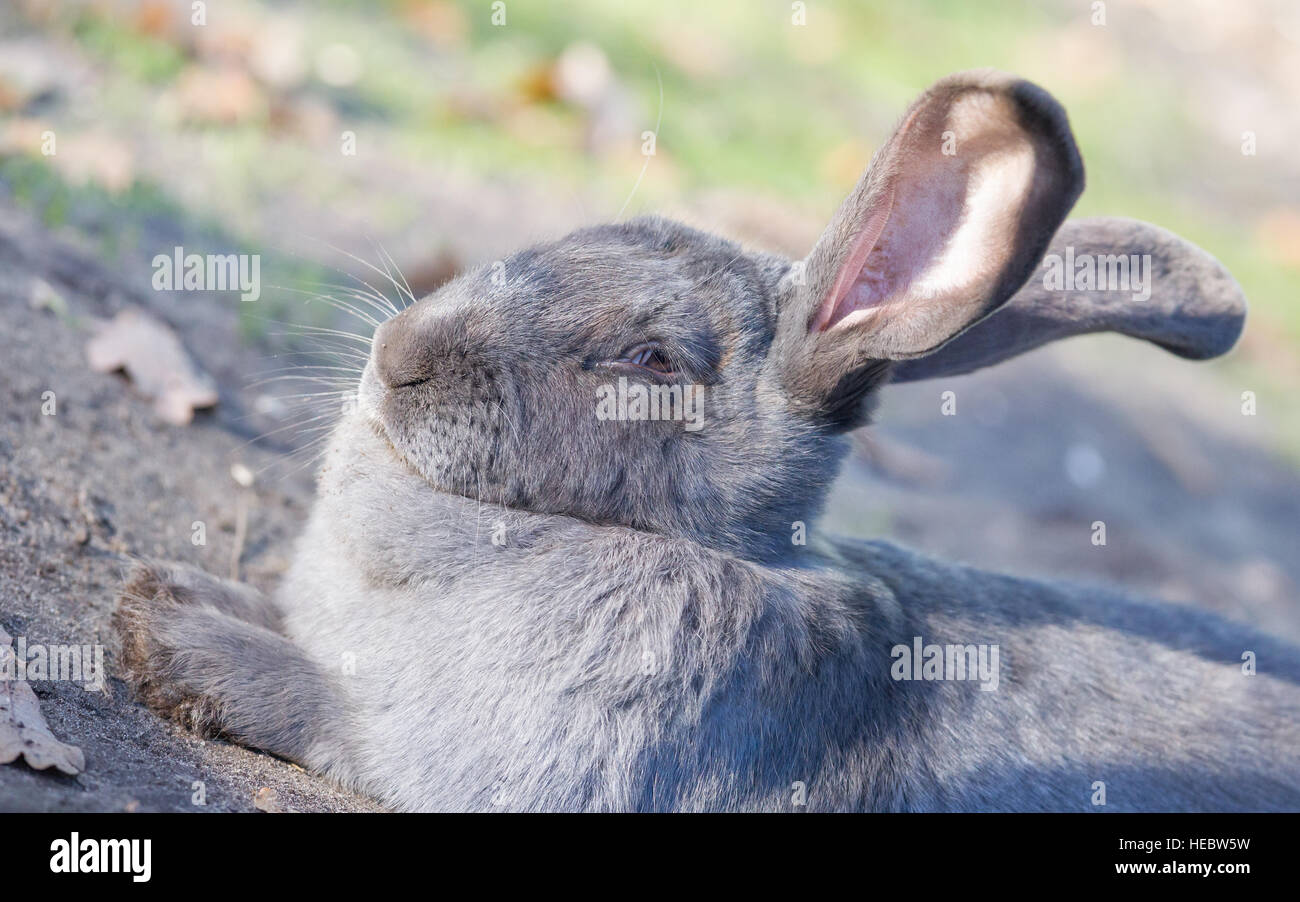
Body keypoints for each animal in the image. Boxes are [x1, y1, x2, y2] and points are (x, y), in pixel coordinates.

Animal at [112, 69, 1300, 812]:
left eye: (652, 362)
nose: (398, 354)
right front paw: (175, 589)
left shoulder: (447, 753)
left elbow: (321, 704)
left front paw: (168, 634)